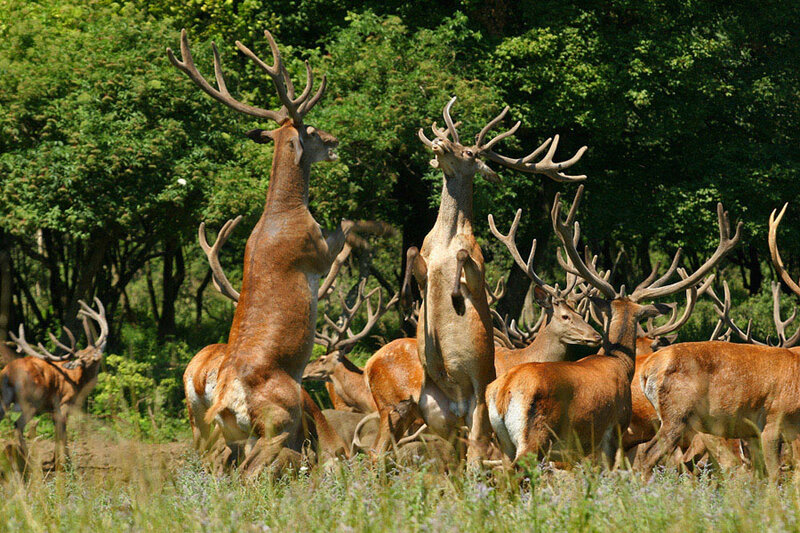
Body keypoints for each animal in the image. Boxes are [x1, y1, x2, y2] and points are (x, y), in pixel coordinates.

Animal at [1, 299, 107, 468]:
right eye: (83, 358)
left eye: (94, 349)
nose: (98, 356)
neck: (77, 382)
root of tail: (7, 374)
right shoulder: (64, 402)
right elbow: (63, 431)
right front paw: (67, 462)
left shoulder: (53, 409)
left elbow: (57, 432)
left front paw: (54, 460)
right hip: (31, 401)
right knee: (18, 425)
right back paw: (30, 461)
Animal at [168, 29, 357, 474]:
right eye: (312, 130)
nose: (335, 142)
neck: (283, 211)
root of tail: (224, 399)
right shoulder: (314, 249)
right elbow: (343, 232)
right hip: (281, 420)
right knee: (253, 473)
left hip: (229, 432)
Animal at [406, 97, 588, 464]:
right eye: (450, 140)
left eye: (469, 152)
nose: (440, 143)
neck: (444, 241)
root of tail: (458, 405)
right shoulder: (424, 259)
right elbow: (411, 249)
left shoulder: (477, 266)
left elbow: (466, 260)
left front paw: (455, 298)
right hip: (432, 407)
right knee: (453, 454)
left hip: (478, 403)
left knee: (476, 451)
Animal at [486, 185, 740, 466]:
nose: (595, 337)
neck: (618, 363)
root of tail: (504, 392)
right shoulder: (614, 429)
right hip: (536, 437)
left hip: (505, 442)